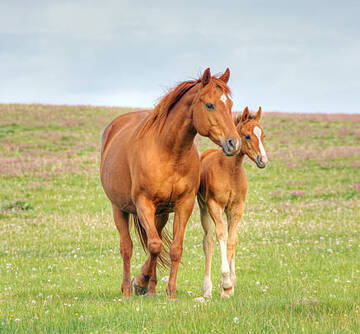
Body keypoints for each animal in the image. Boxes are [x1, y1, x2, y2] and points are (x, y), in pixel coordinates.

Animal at [100, 67, 242, 298]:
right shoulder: (144, 204)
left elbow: (173, 248)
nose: (234, 143)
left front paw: (170, 292)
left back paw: (150, 287)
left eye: (229, 104)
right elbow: (154, 246)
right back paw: (127, 289)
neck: (169, 152)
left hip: (161, 215)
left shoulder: (184, 205)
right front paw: (140, 283)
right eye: (210, 105)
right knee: (127, 247)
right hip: (118, 208)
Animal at [197, 106, 268, 298]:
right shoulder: (214, 206)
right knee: (208, 241)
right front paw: (226, 280)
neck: (230, 171)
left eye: (263, 135)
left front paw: (227, 286)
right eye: (248, 136)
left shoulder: (236, 208)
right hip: (204, 208)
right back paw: (207, 289)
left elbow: (232, 240)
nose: (263, 160)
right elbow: (221, 235)